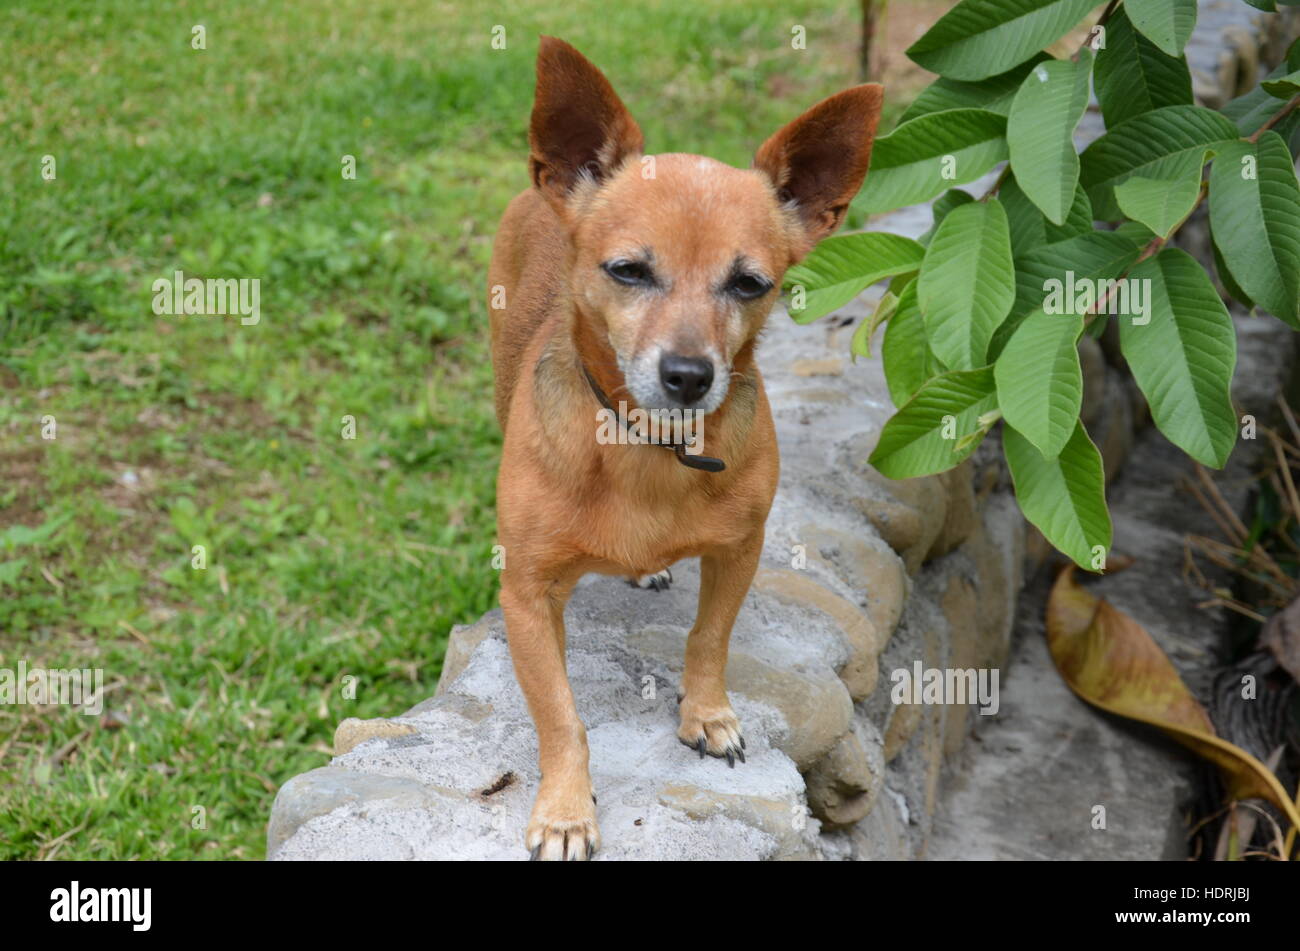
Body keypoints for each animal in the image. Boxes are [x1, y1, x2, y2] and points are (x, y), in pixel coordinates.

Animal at [488, 37, 883, 857]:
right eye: (628, 270)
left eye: (751, 284)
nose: (690, 375)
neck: (647, 451)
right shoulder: (528, 598)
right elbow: (559, 714)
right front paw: (566, 808)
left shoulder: (740, 550)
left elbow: (709, 637)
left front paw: (708, 714)